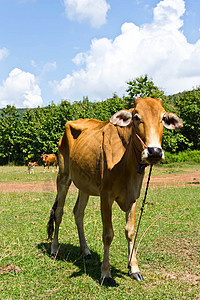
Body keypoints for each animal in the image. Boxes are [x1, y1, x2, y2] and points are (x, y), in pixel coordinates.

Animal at [47, 97, 183, 284]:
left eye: (163, 118)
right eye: (136, 117)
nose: (154, 152)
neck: (127, 163)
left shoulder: (133, 196)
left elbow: (130, 232)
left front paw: (134, 268)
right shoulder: (106, 196)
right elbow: (108, 234)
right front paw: (106, 273)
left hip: (84, 186)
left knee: (78, 213)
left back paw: (85, 251)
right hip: (63, 176)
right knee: (59, 213)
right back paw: (54, 249)